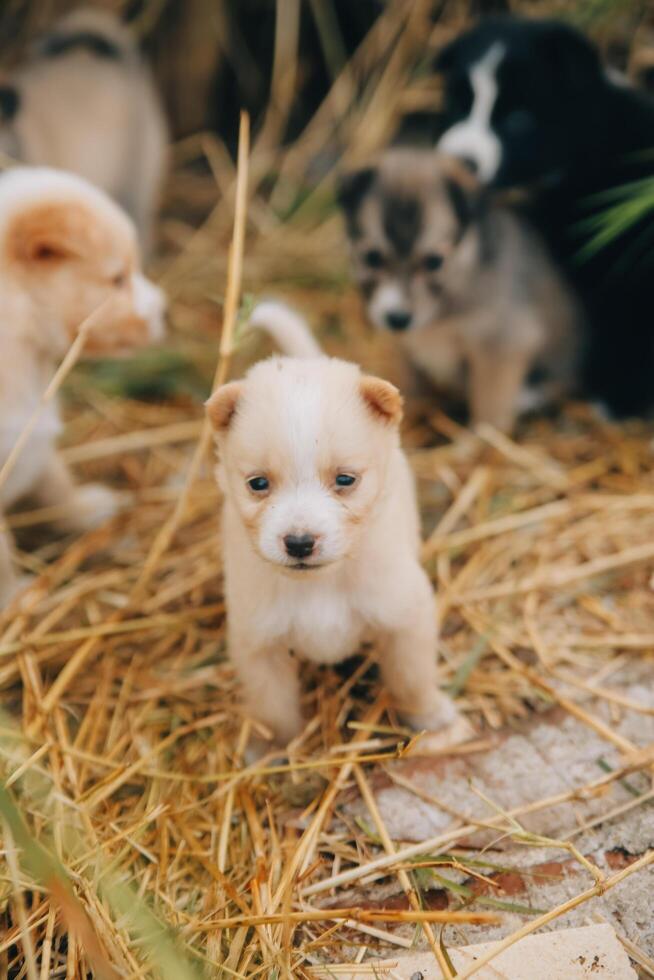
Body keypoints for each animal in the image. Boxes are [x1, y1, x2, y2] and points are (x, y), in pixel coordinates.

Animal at [0, 168, 167, 604]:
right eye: (117, 279)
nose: (166, 310)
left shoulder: (37, 437)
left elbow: (57, 482)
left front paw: (85, 508)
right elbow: (1, 549)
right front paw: (14, 597)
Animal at [206, 298, 462, 752]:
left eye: (345, 479)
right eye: (258, 483)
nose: (299, 542)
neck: (320, 587)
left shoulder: (405, 618)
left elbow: (412, 680)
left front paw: (432, 720)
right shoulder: (258, 644)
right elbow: (273, 709)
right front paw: (272, 750)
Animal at [340, 147, 580, 430]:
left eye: (434, 261)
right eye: (372, 258)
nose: (397, 318)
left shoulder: (501, 346)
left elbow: (489, 412)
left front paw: (479, 438)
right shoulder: (404, 350)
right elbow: (408, 386)